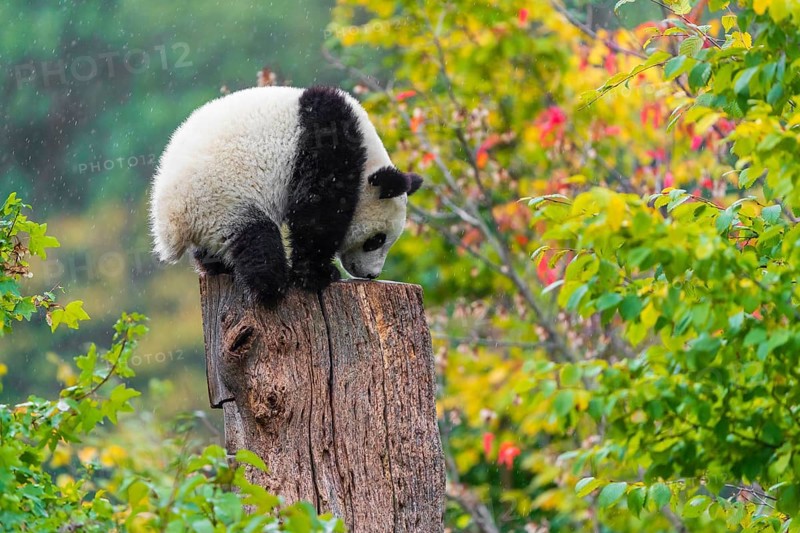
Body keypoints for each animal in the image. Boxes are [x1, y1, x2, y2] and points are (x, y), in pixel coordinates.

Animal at [150, 85, 423, 306]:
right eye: (376, 240)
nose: (371, 275)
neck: (367, 156)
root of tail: (171, 223)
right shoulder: (327, 144)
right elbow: (316, 210)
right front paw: (317, 275)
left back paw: (219, 268)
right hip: (221, 199)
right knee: (257, 239)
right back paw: (270, 287)